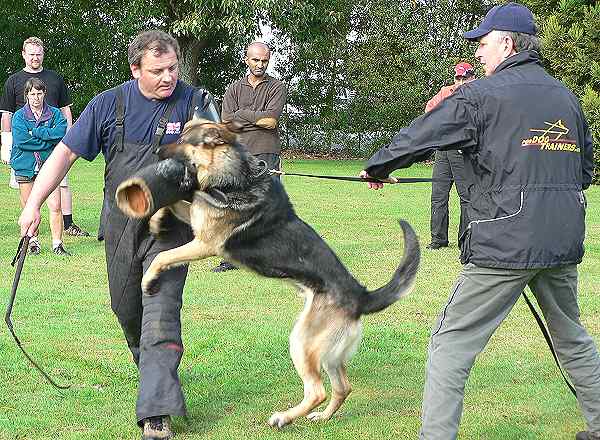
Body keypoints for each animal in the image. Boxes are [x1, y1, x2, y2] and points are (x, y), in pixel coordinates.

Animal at [134, 119, 420, 426]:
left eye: (185, 142)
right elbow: (173, 204)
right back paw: (322, 417)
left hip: (302, 342)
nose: (157, 151)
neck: (237, 179)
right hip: (328, 353)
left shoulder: (205, 243)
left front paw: (148, 280)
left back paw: (284, 417)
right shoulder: (198, 219)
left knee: (317, 391)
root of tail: (361, 296)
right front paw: (156, 220)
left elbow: (163, 256)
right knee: (343, 387)